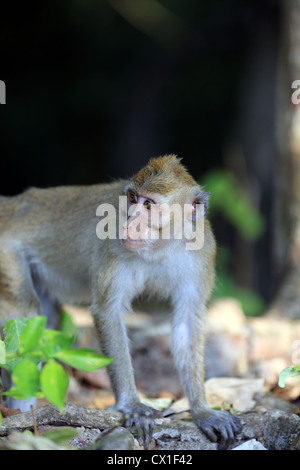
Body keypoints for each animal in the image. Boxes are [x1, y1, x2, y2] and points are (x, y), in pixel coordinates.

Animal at [0, 156, 241, 446]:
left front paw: (203, 411)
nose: (129, 222)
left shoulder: (202, 253)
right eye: (132, 198)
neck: (161, 247)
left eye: (149, 205)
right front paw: (132, 405)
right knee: (25, 309)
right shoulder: (112, 242)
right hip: (6, 252)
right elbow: (108, 312)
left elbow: (187, 323)